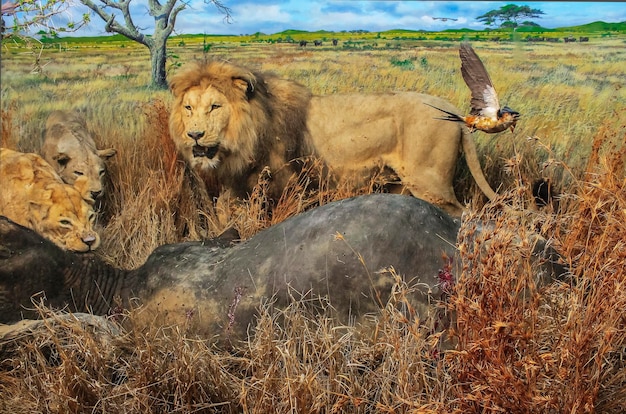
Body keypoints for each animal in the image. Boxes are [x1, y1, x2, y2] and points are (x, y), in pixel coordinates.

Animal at [168, 62, 494, 217]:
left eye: (215, 106)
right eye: (188, 108)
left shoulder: (288, 185)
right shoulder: (239, 187)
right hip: (404, 185)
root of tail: (455, 112)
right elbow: (224, 213)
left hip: (431, 182)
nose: (194, 135)